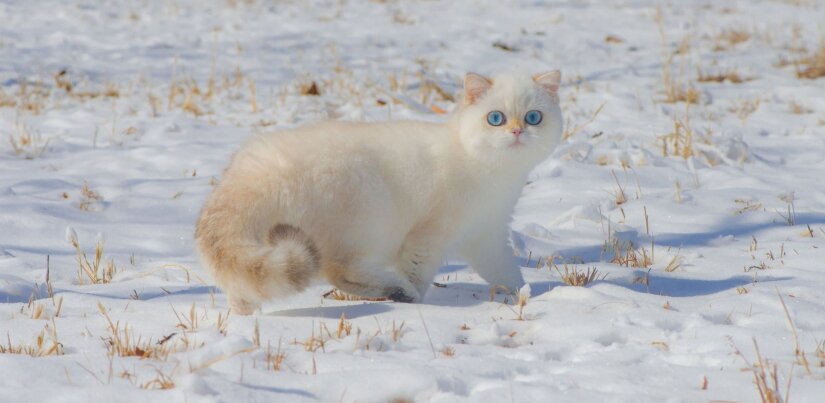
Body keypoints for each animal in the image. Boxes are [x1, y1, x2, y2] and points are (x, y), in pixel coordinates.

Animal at [196, 70, 564, 316]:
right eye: (495, 118)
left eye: (533, 117)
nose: (517, 132)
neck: (492, 173)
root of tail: (251, 171)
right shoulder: (428, 236)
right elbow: (418, 273)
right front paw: (418, 300)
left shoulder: (487, 236)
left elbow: (506, 272)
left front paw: (525, 296)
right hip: (366, 217)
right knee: (339, 271)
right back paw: (398, 291)